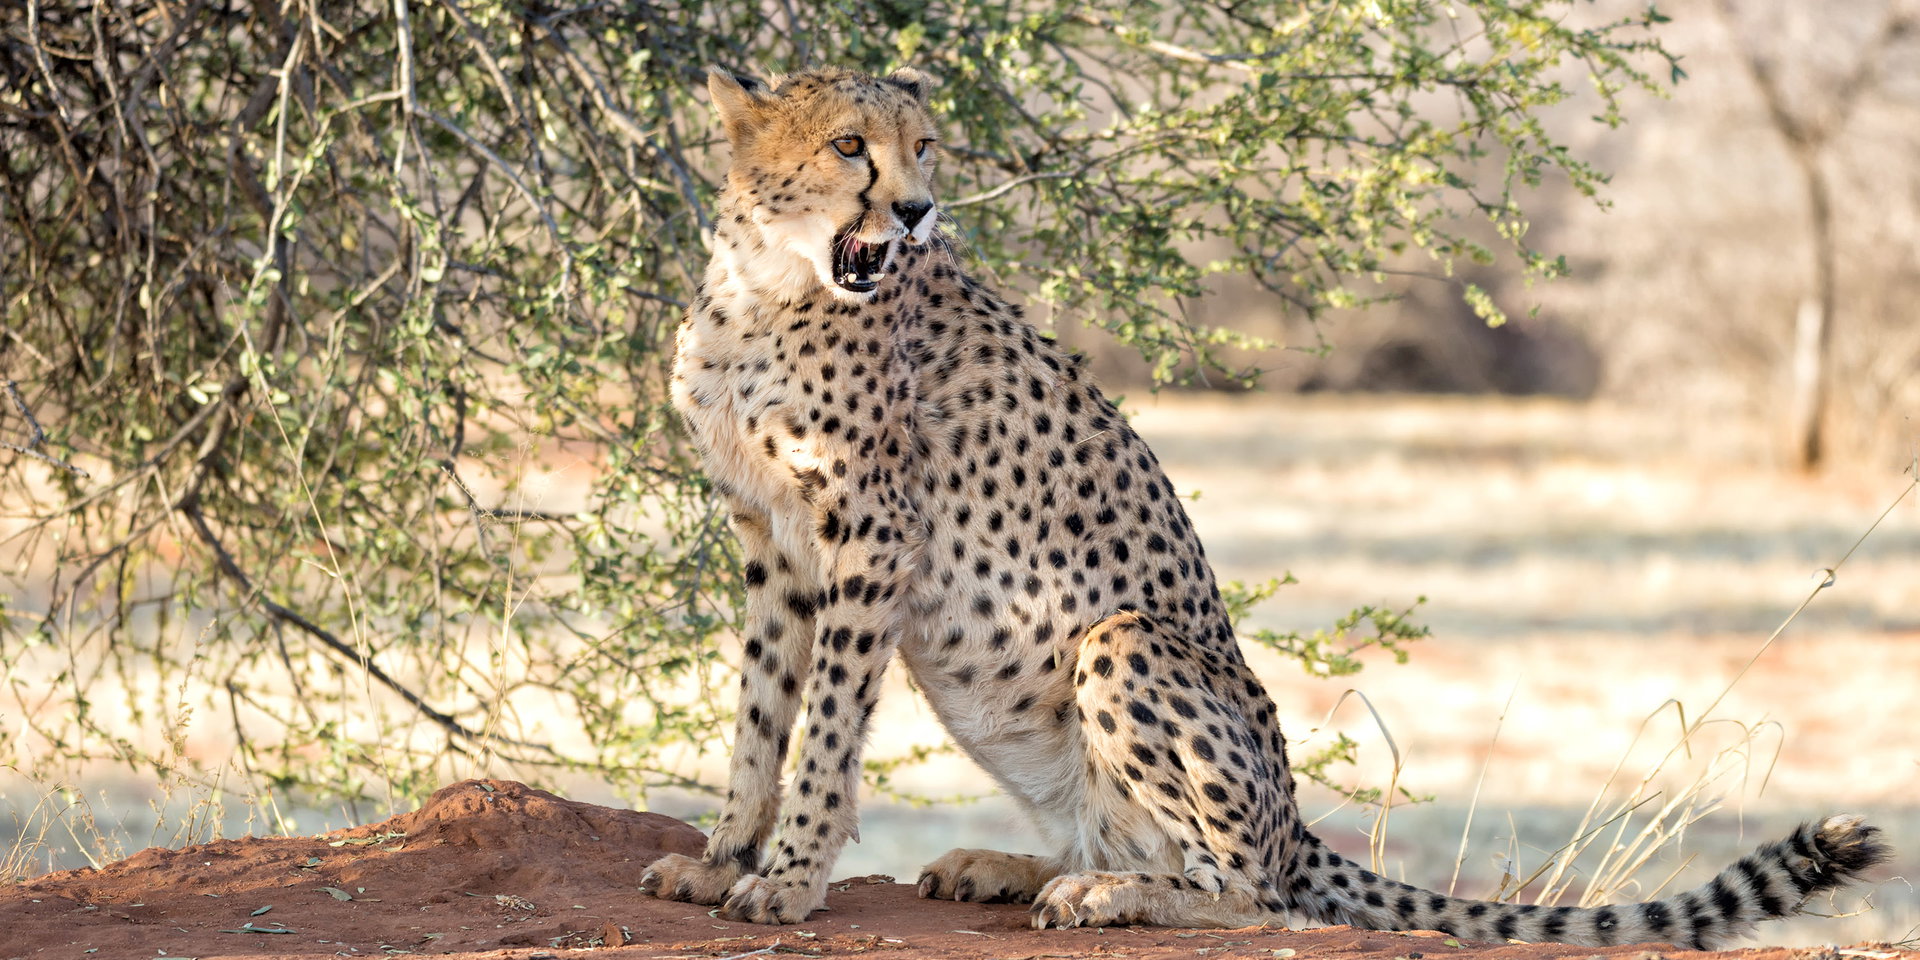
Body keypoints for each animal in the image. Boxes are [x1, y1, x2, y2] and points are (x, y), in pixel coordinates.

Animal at [638, 65, 1889, 948]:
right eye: (849, 146)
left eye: (925, 147)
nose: (917, 210)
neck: (768, 289)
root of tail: (1294, 819)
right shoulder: (773, 541)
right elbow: (761, 713)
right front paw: (724, 858)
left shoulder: (872, 539)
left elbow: (824, 729)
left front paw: (789, 879)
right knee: (1152, 847)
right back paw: (1021, 867)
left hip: (1125, 642)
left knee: (1250, 889)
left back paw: (1106, 897)